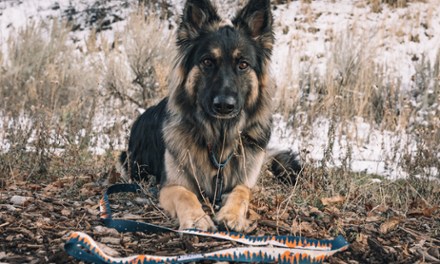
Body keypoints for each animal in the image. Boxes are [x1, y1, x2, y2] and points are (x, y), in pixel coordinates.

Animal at [119, 0, 300, 231]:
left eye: (243, 64)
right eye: (207, 62)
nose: (224, 106)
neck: (219, 139)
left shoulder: (244, 181)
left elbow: (242, 192)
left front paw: (231, 215)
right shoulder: (170, 186)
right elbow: (185, 195)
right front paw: (197, 219)